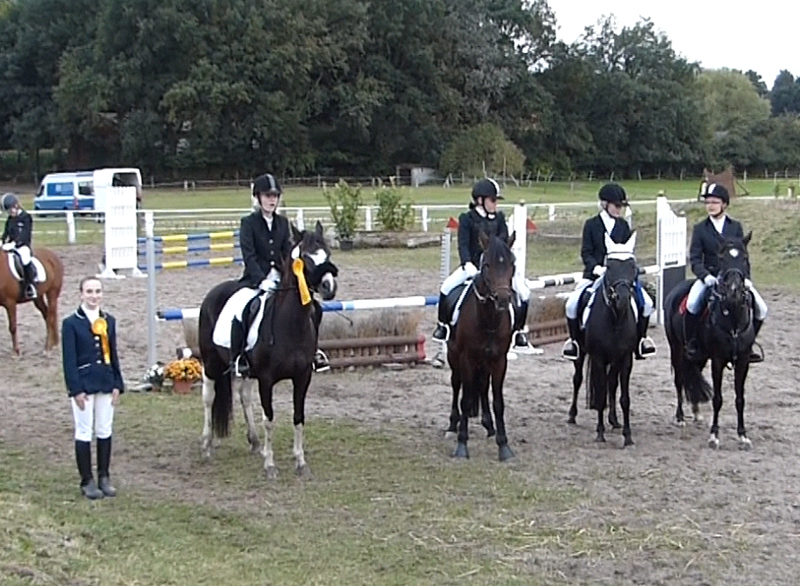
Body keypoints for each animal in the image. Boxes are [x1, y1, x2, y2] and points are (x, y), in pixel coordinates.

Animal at [198, 221, 338, 478]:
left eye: (328, 254)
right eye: (306, 257)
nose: (328, 287)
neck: (290, 324)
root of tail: (215, 291)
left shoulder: (302, 377)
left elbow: (298, 417)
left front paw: (300, 462)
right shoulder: (266, 379)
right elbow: (269, 420)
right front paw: (270, 465)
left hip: (243, 369)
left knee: (243, 396)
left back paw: (254, 442)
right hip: (211, 363)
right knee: (208, 397)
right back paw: (206, 446)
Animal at [446, 230, 516, 461]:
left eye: (512, 263)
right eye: (486, 265)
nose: (502, 299)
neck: (488, 320)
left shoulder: (499, 361)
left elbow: (498, 402)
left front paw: (504, 446)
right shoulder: (467, 359)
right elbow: (466, 400)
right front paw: (461, 444)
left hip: (485, 362)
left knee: (483, 387)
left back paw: (489, 425)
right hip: (454, 357)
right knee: (456, 384)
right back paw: (452, 426)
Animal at [571, 233, 640, 446]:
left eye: (632, 266)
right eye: (609, 266)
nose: (622, 299)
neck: (615, 318)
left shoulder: (625, 359)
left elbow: (624, 397)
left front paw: (628, 435)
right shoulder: (599, 358)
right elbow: (600, 395)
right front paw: (600, 433)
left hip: (615, 360)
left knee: (612, 384)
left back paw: (614, 420)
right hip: (580, 353)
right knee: (577, 379)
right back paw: (572, 415)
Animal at [664, 233, 756, 450]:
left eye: (745, 258)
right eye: (722, 258)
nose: (733, 291)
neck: (732, 320)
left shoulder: (743, 361)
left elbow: (740, 399)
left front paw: (743, 435)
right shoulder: (717, 360)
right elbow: (717, 399)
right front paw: (714, 435)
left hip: (699, 356)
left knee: (692, 376)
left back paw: (696, 412)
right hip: (676, 348)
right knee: (679, 379)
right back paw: (680, 417)